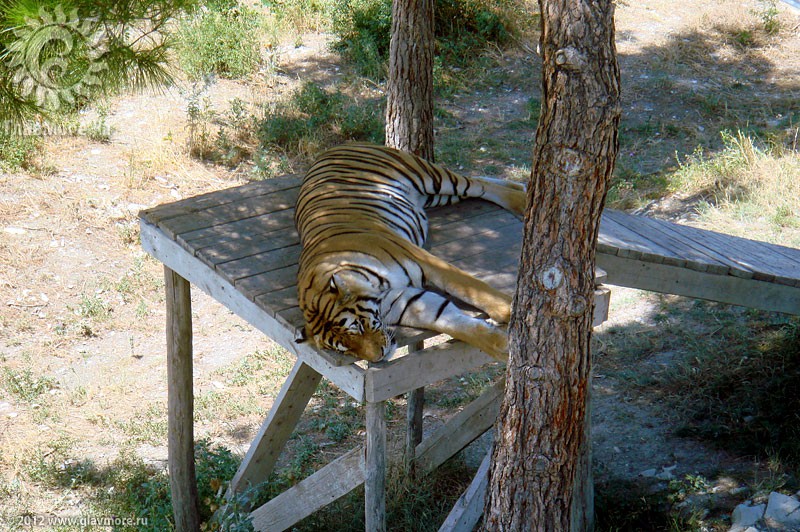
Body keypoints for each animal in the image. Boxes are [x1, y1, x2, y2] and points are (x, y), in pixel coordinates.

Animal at [292, 143, 524, 364]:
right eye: (345, 349)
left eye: (357, 327)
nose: (379, 357)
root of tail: (332, 149)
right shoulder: (408, 302)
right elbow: (454, 324)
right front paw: (503, 346)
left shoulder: (425, 261)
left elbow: (473, 289)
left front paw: (513, 312)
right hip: (435, 196)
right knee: (479, 183)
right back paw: (520, 186)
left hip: (428, 176)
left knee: (475, 183)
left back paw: (523, 200)